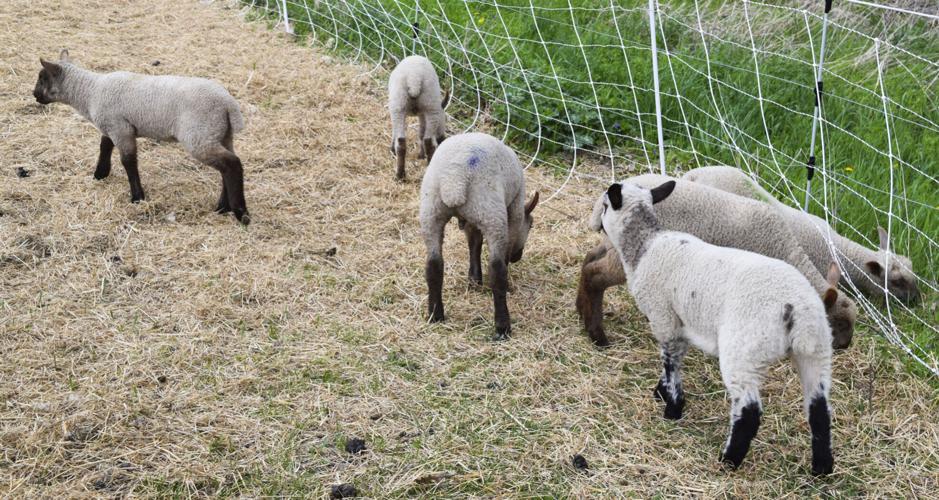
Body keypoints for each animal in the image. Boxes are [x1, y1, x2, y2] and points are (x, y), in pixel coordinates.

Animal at [32, 50, 249, 224]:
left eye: (42, 78)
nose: (34, 95)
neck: (90, 91)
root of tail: (228, 104)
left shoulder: (121, 129)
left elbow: (128, 161)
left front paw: (137, 197)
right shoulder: (111, 127)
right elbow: (104, 147)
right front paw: (100, 174)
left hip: (198, 135)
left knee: (232, 164)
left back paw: (241, 213)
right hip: (220, 134)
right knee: (226, 167)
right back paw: (223, 207)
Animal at [419, 133, 539, 340]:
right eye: (530, 225)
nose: (518, 257)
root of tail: (454, 180)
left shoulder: (471, 220)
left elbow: (473, 242)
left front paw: (474, 280)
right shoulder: (514, 211)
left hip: (431, 212)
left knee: (434, 265)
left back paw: (435, 315)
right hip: (491, 213)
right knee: (497, 270)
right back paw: (502, 327)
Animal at [576, 174, 856, 349]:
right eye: (835, 322)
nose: (844, 346)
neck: (784, 248)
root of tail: (602, 202)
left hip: (610, 243)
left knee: (589, 259)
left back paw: (581, 310)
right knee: (595, 274)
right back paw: (597, 334)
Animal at [594, 180, 835, 475]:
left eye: (605, 205)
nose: (597, 225)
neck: (645, 246)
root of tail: (796, 308)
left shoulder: (663, 316)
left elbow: (670, 361)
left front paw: (672, 407)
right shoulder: (681, 322)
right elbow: (674, 358)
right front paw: (662, 392)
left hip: (744, 350)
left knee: (749, 411)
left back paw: (729, 460)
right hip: (816, 351)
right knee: (819, 410)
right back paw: (822, 467)